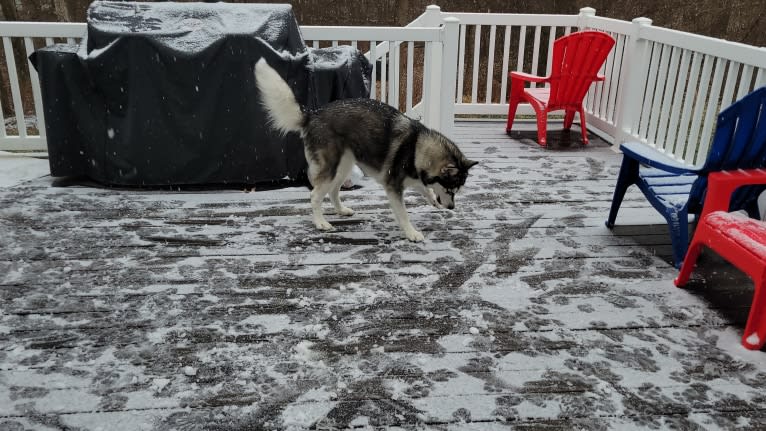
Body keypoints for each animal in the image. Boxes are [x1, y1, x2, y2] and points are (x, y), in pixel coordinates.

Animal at [255, 59, 476, 243]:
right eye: (450, 189)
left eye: (456, 190)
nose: (451, 207)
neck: (416, 147)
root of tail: (312, 115)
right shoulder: (393, 187)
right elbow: (404, 214)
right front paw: (411, 233)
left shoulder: (414, 178)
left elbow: (426, 188)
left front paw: (431, 200)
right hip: (331, 169)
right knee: (315, 195)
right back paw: (321, 223)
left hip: (343, 167)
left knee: (333, 191)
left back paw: (341, 211)